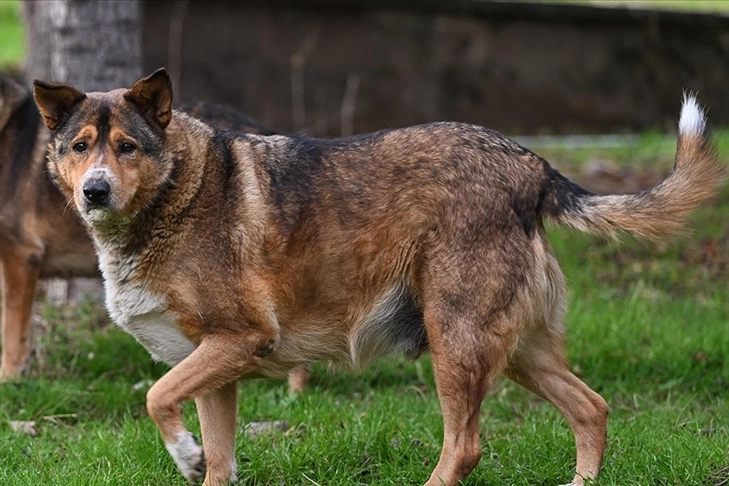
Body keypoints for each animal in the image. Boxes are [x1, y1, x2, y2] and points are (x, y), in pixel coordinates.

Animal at [0, 74, 282, 382]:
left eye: (127, 147)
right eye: (80, 146)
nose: (95, 192)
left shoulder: (20, 257)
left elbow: (12, 331)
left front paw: (10, 378)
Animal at [31, 69, 720, 486]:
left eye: (127, 147)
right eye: (80, 146)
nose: (94, 192)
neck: (175, 192)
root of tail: (532, 166)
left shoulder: (239, 341)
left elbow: (155, 398)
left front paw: (182, 453)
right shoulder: (213, 367)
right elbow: (216, 459)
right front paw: (196, 456)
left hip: (455, 339)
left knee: (466, 446)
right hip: (518, 349)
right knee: (592, 408)